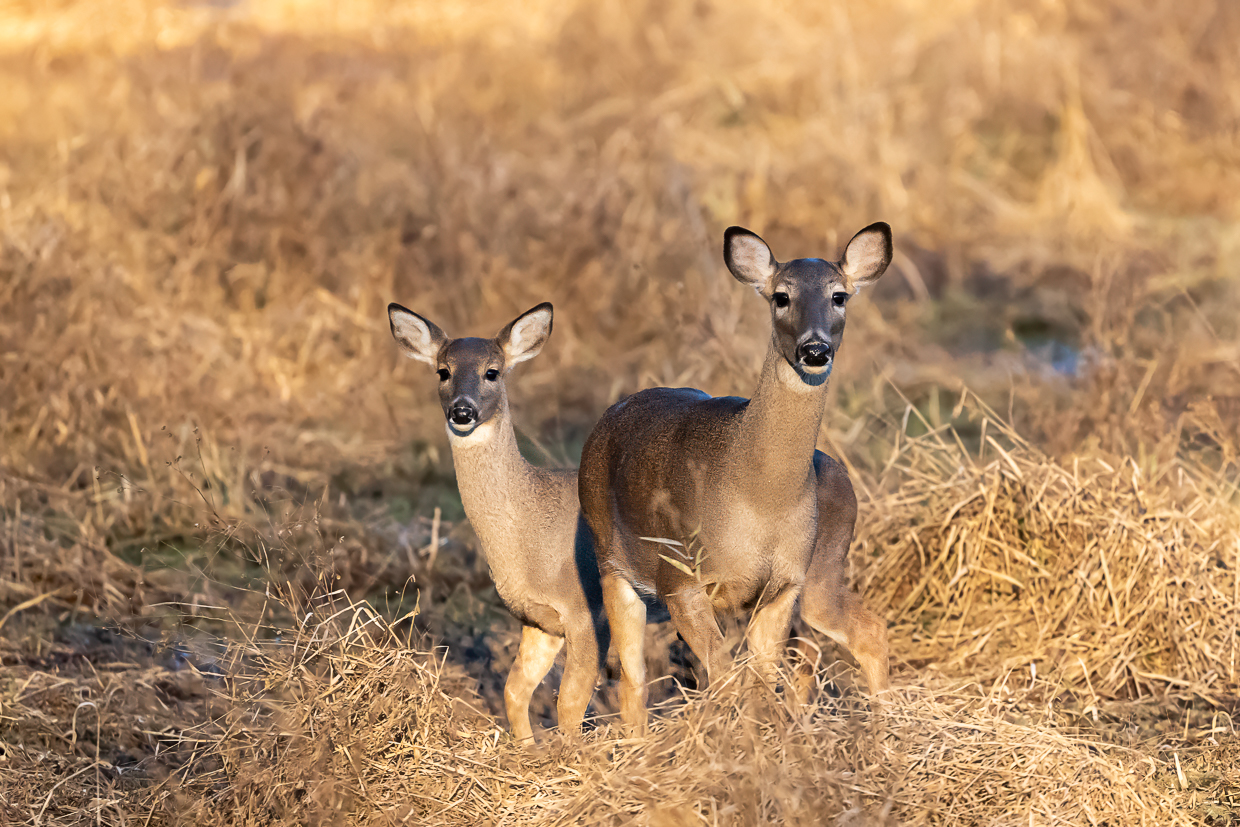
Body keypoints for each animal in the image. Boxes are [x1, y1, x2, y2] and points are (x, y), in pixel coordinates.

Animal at [384, 303, 602, 743]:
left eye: (493, 372)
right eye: (443, 370)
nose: (462, 411)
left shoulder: (583, 608)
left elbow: (570, 705)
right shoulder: (538, 619)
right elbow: (514, 691)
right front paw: (527, 751)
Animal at [580, 221, 892, 729]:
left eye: (839, 296)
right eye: (781, 296)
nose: (815, 348)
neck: (758, 496)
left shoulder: (784, 585)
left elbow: (756, 682)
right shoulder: (681, 580)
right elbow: (728, 680)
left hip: (824, 571)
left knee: (861, 632)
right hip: (613, 563)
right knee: (631, 676)